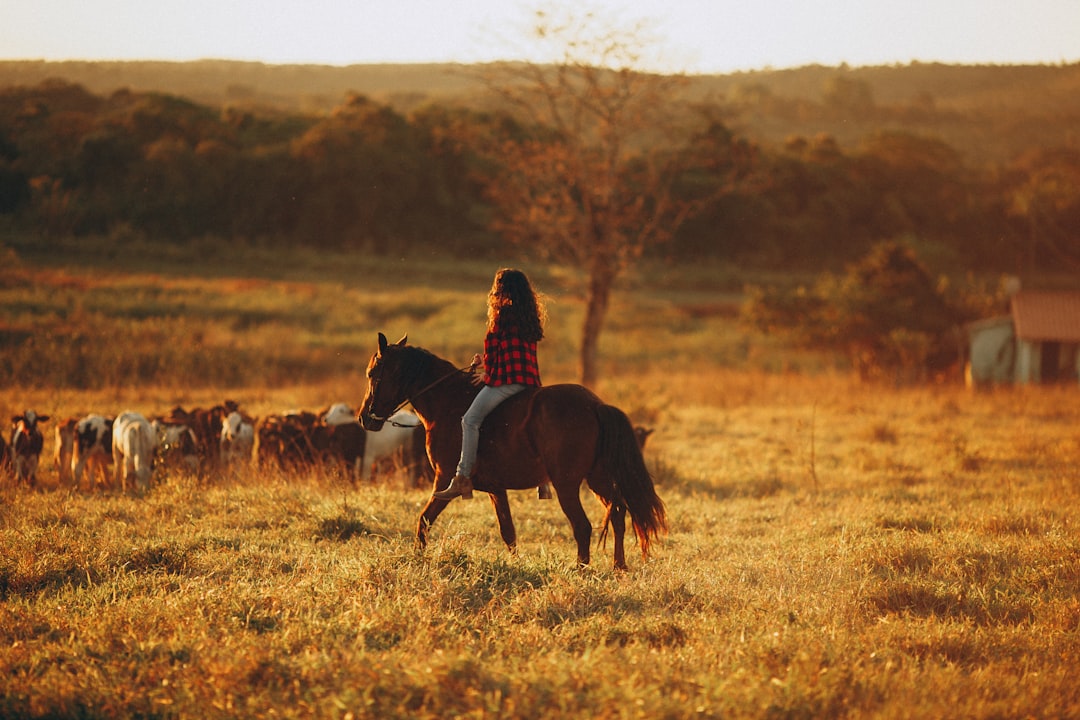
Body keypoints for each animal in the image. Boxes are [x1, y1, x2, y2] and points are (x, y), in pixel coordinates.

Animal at [360, 334, 665, 569]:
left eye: (373, 374)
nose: (365, 418)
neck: (448, 403)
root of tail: (595, 405)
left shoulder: (444, 480)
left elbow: (423, 520)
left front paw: (417, 558)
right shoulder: (496, 489)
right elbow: (508, 532)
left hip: (567, 485)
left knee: (583, 526)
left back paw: (581, 569)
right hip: (597, 479)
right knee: (618, 514)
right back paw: (619, 567)